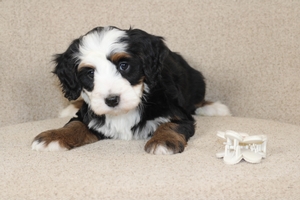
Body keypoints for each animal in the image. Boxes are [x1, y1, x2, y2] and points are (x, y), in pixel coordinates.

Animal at [31, 26, 231, 155]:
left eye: (124, 65)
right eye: (90, 73)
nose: (112, 100)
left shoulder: (177, 112)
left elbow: (171, 123)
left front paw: (163, 141)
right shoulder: (90, 116)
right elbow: (75, 124)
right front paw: (53, 136)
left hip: (196, 80)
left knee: (197, 100)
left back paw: (215, 107)